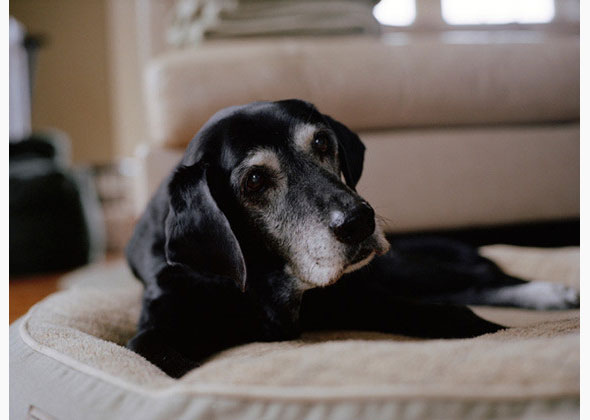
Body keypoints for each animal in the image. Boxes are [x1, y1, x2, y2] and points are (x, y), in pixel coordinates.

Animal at [126, 99, 584, 378]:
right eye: (254, 180)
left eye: (322, 141)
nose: (359, 222)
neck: (267, 280)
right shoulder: (155, 328)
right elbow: (162, 355)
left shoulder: (355, 296)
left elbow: (456, 315)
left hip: (397, 269)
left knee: (483, 279)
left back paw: (554, 293)